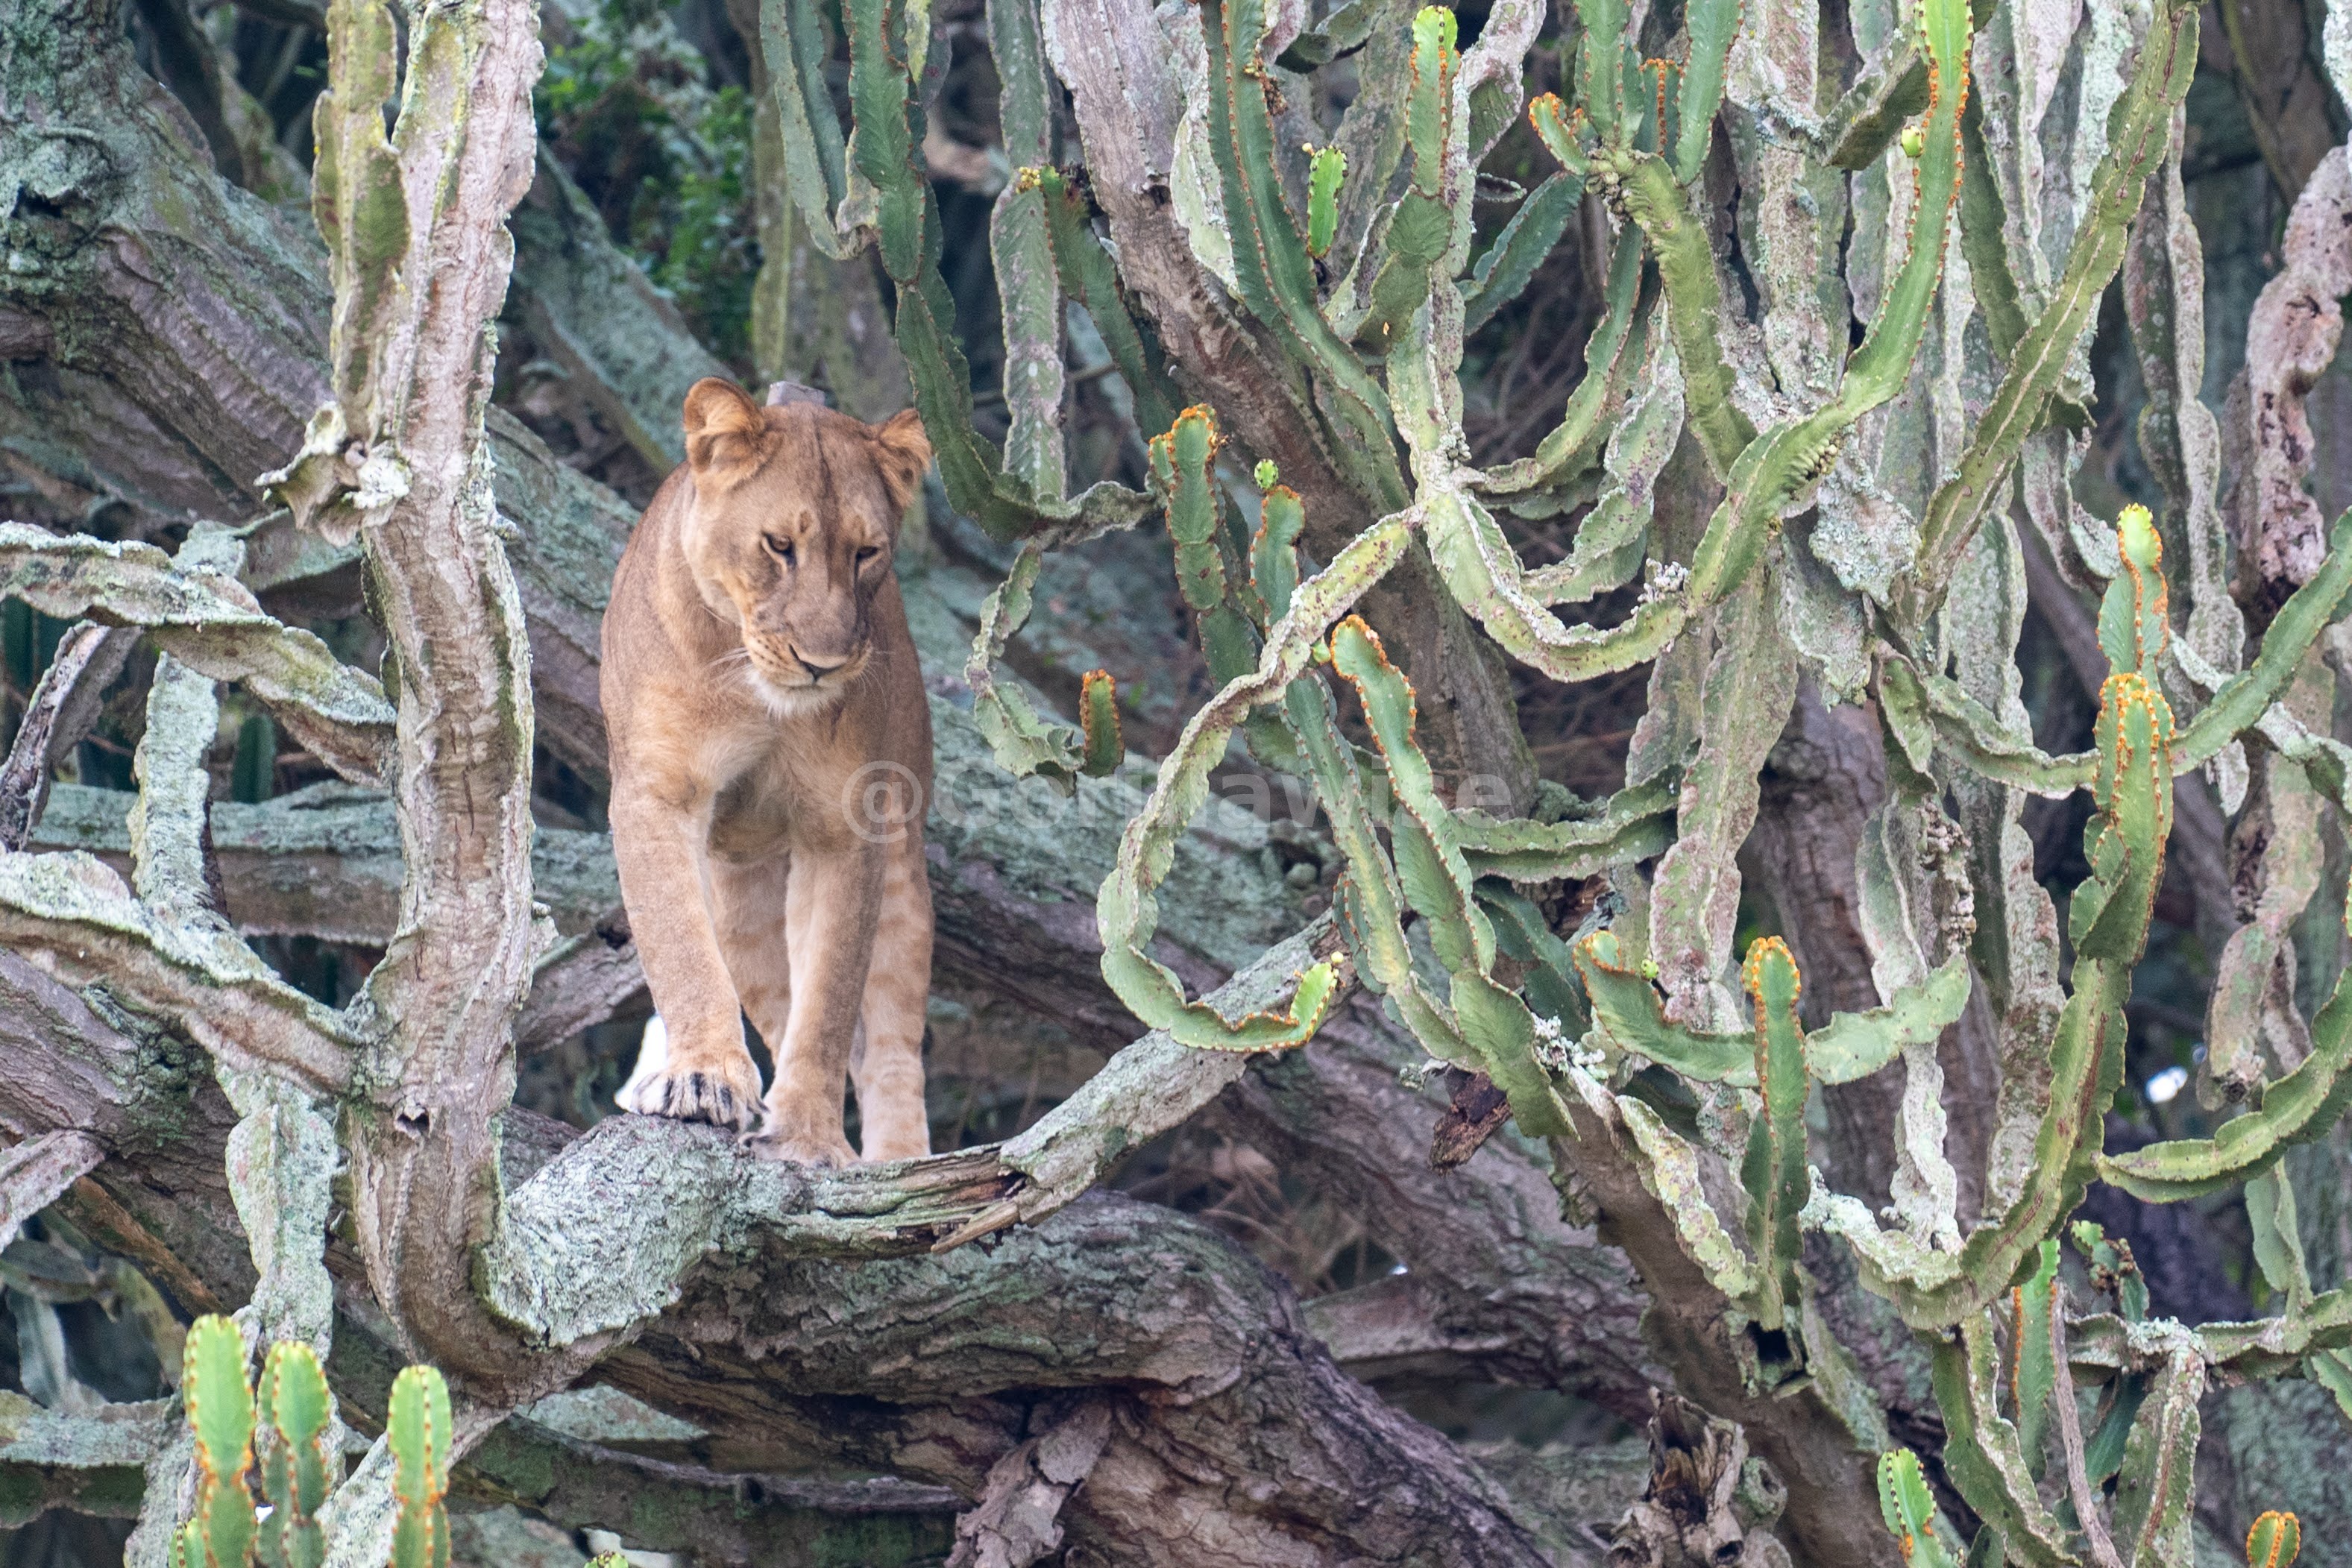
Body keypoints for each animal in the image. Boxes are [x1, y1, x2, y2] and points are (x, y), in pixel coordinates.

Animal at [600, 377, 935, 1167]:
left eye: (866, 553)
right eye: (779, 546)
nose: (822, 664)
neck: (759, 696)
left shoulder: (846, 827)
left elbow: (831, 1002)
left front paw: (810, 1137)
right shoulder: (657, 793)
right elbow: (680, 948)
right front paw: (703, 1083)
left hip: (901, 871)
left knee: (887, 1047)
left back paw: (897, 1163)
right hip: (742, 913)